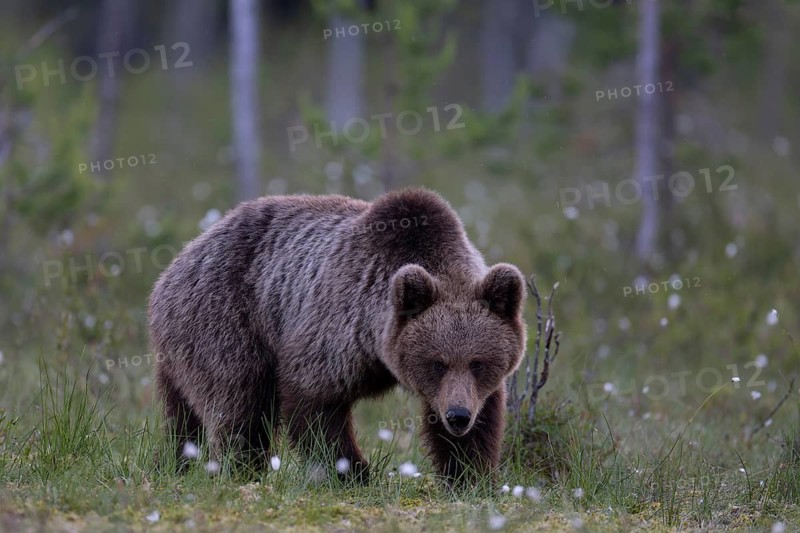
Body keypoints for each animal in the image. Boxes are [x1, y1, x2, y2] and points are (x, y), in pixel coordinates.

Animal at [148, 188, 527, 483]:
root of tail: (175, 264)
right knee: (238, 401)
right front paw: (353, 472)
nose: (457, 416)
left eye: (478, 363)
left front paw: (469, 473)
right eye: (437, 362)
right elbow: (316, 403)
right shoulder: (339, 327)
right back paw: (241, 468)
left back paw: (176, 462)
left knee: (180, 415)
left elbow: (482, 419)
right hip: (226, 320)